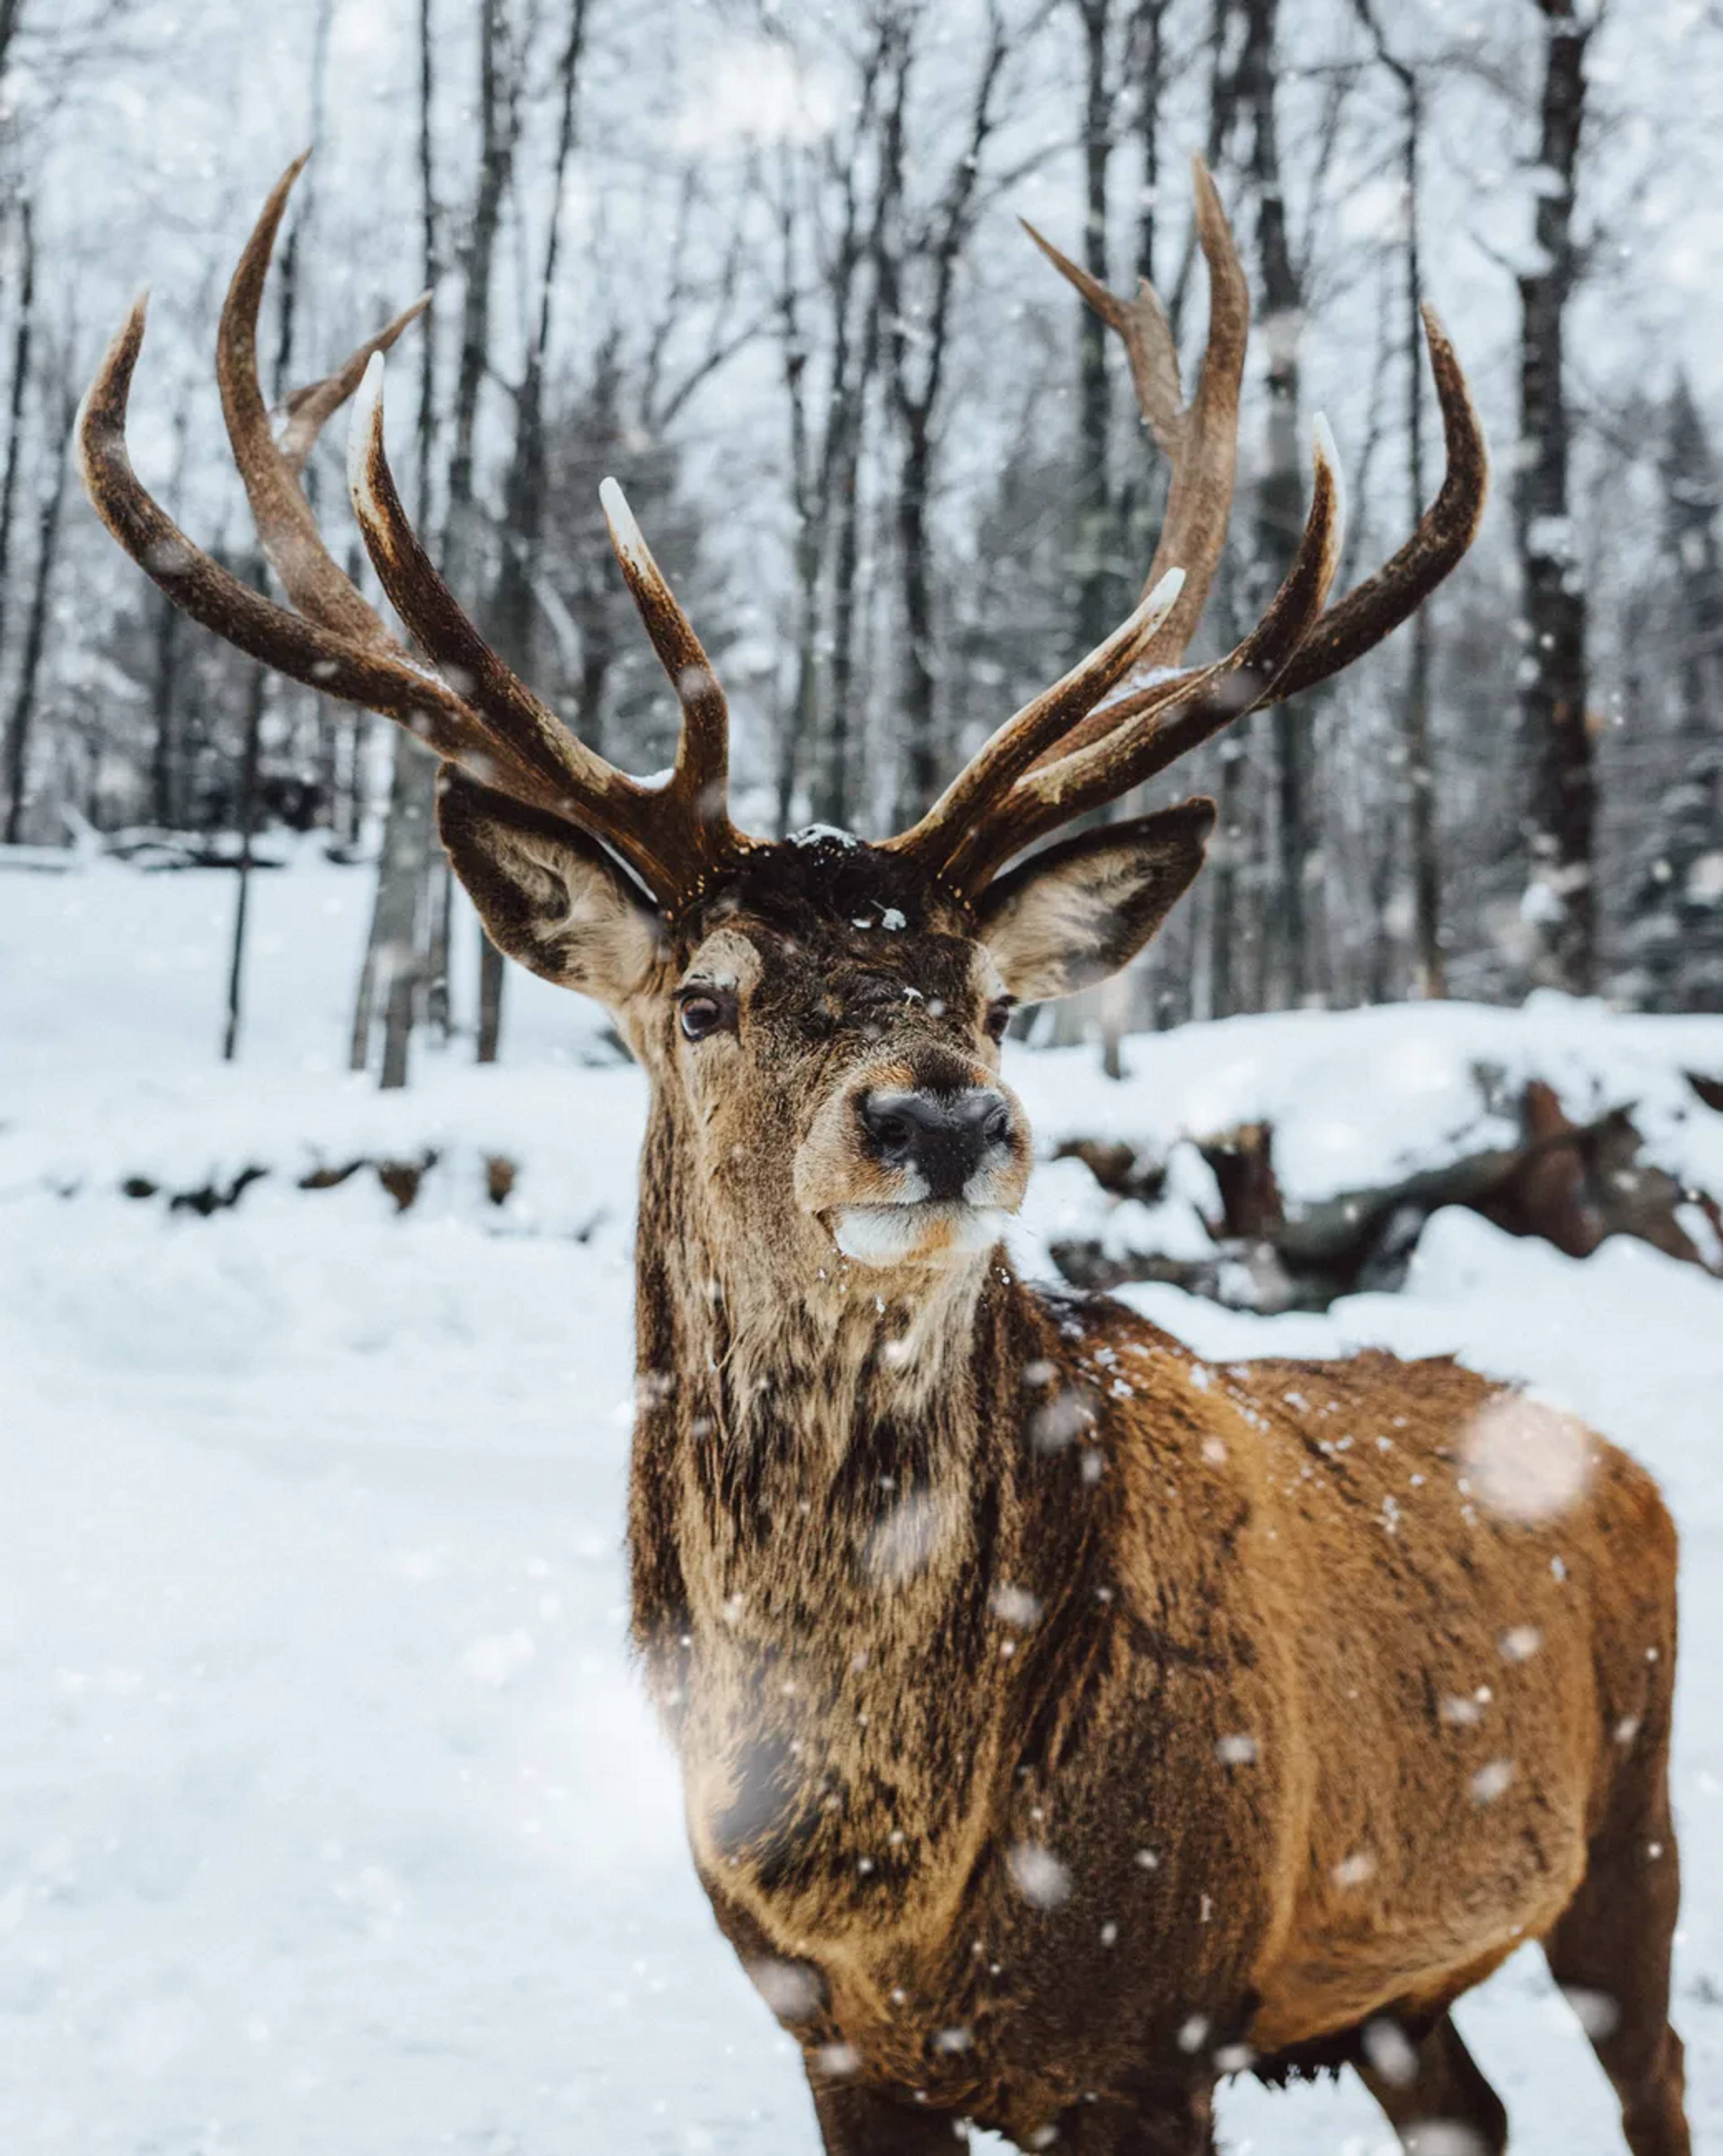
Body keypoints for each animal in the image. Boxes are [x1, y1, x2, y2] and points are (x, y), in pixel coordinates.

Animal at [78, 156, 1682, 2156]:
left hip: (1632, 1831)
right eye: (703, 998)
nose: (942, 1112)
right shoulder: (823, 2034)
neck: (884, 1877)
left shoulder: (1163, 2020)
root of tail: (1620, 1459)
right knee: (1472, 2104)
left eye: (996, 1000)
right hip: (1396, 1980)